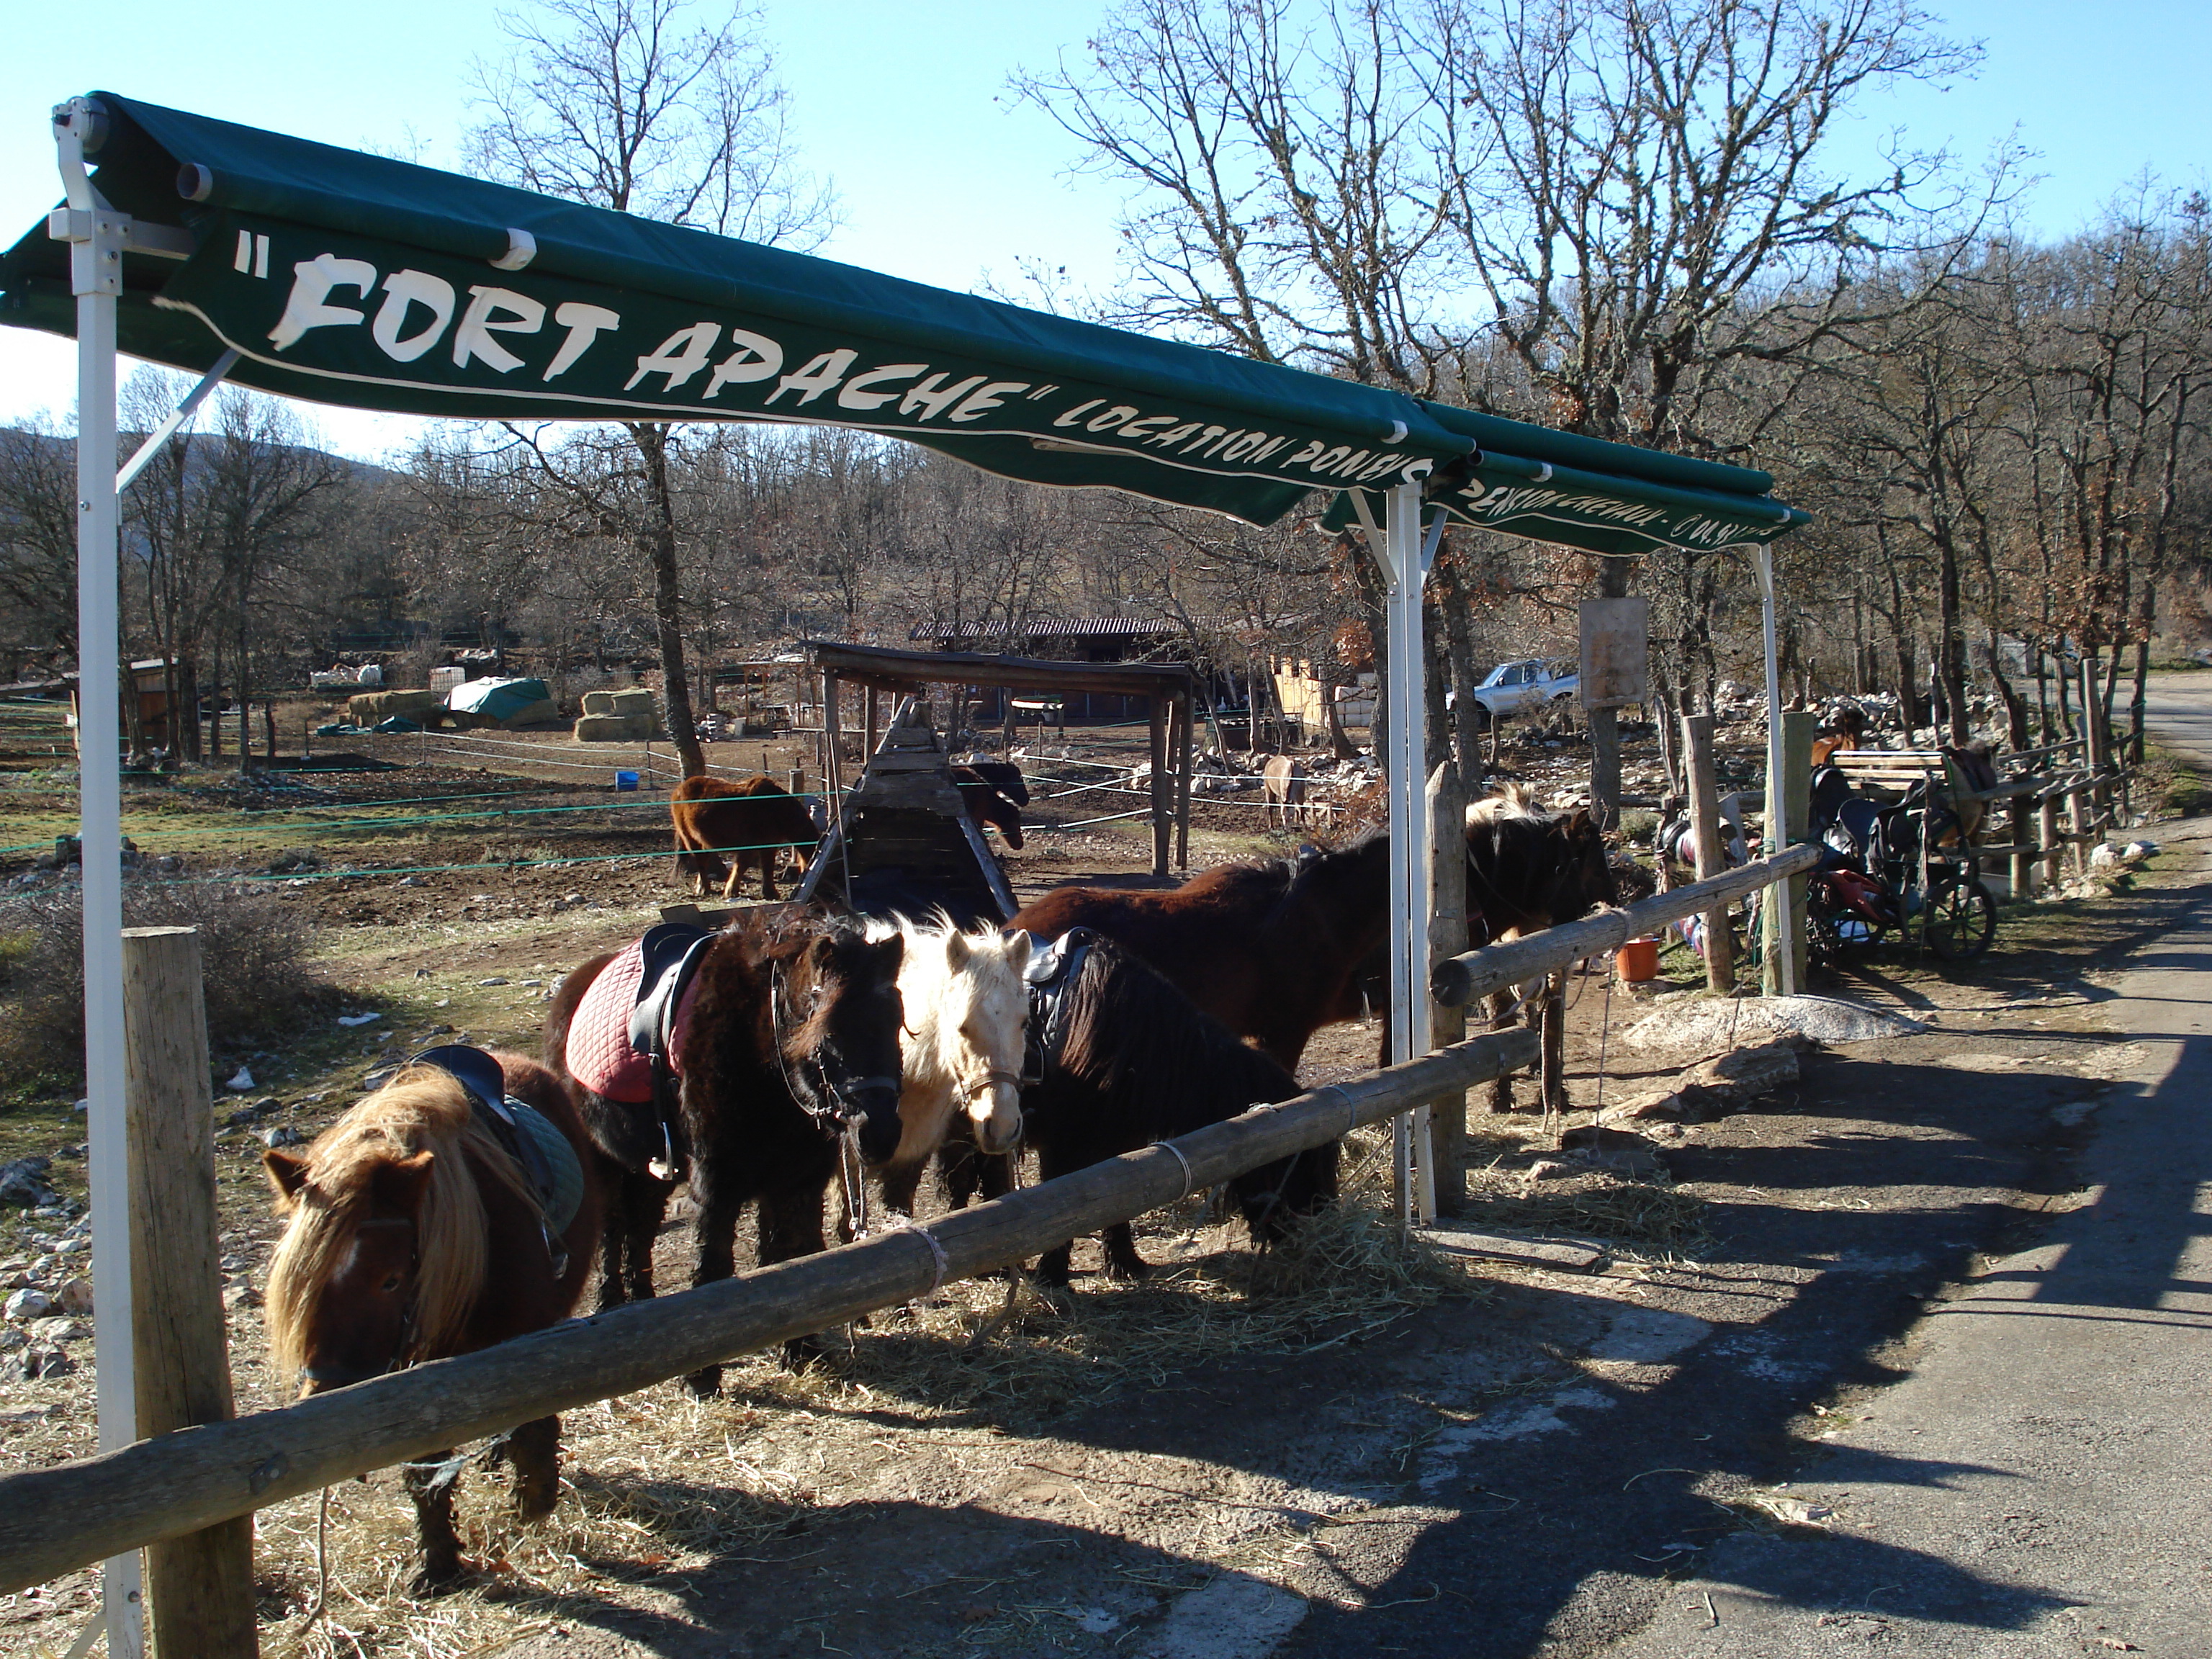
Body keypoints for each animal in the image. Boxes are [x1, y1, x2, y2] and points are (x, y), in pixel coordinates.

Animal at [261, 1057, 597, 1592]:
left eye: (390, 1280)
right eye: (304, 1283)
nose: (328, 1398)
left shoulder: (532, 1339)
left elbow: (536, 1423)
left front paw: (534, 1503)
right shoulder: (418, 1375)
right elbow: (425, 1464)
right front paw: (439, 1562)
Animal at [672, 778, 822, 902]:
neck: (776, 809)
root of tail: (679, 789)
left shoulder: (769, 844)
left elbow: (767, 867)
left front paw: (770, 893)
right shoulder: (750, 845)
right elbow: (742, 866)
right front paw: (731, 892)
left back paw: (700, 886)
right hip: (689, 837)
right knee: (701, 860)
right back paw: (704, 889)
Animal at [889, 938, 1336, 1282]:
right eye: (1296, 1159)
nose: (1319, 1232)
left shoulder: (1117, 1140)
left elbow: (1120, 1200)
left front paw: (1124, 1263)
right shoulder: (1061, 1144)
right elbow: (1059, 1206)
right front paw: (1054, 1274)